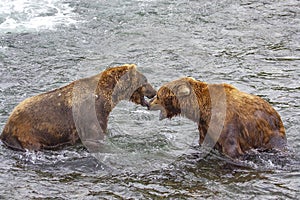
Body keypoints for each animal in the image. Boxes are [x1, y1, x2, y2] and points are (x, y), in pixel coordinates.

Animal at [149, 77, 286, 159]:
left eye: (158, 95)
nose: (149, 103)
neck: (202, 109)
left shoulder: (226, 123)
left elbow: (231, 148)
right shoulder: (205, 125)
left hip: (269, 134)